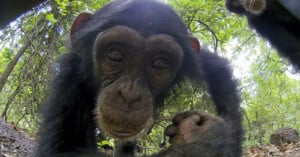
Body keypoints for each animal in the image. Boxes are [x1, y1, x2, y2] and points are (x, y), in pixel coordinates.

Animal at [34, 0, 243, 156]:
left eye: (159, 63)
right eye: (115, 54)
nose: (130, 94)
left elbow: (218, 71)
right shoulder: (70, 82)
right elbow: (63, 149)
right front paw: (199, 140)